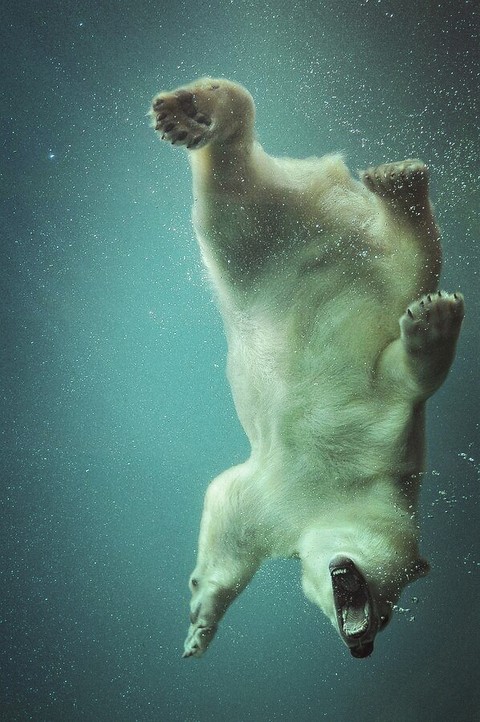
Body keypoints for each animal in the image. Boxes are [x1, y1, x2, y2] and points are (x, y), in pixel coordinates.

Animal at [150, 78, 465, 658]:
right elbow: (408, 376)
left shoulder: (278, 498)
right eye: (388, 611)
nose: (362, 647)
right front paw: (436, 318)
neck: (343, 487)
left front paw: (199, 624)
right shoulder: (382, 432)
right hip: (270, 244)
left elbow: (226, 513)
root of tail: (325, 195)